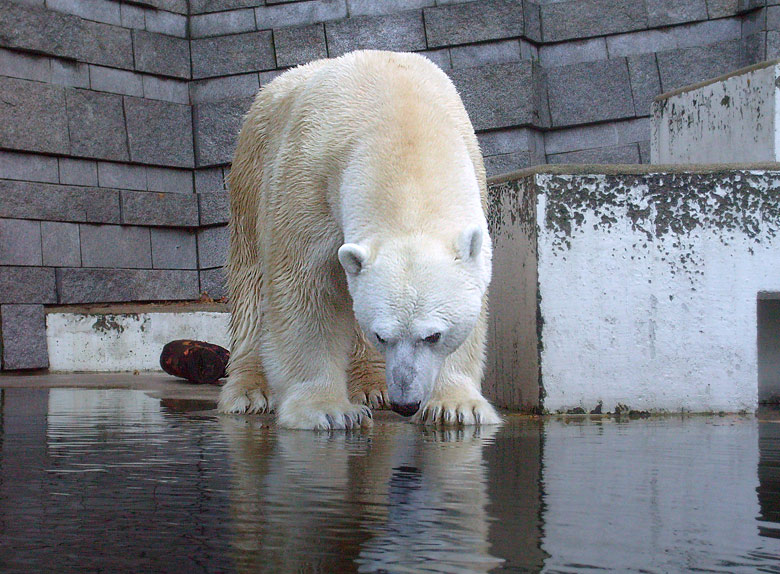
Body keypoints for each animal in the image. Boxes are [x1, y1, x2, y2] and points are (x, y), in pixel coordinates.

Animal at [216, 50, 502, 432]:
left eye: (433, 335)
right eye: (383, 336)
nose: (405, 403)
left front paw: (457, 406)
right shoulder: (309, 176)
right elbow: (305, 290)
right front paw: (326, 410)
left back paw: (372, 386)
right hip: (251, 171)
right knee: (249, 282)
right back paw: (249, 390)